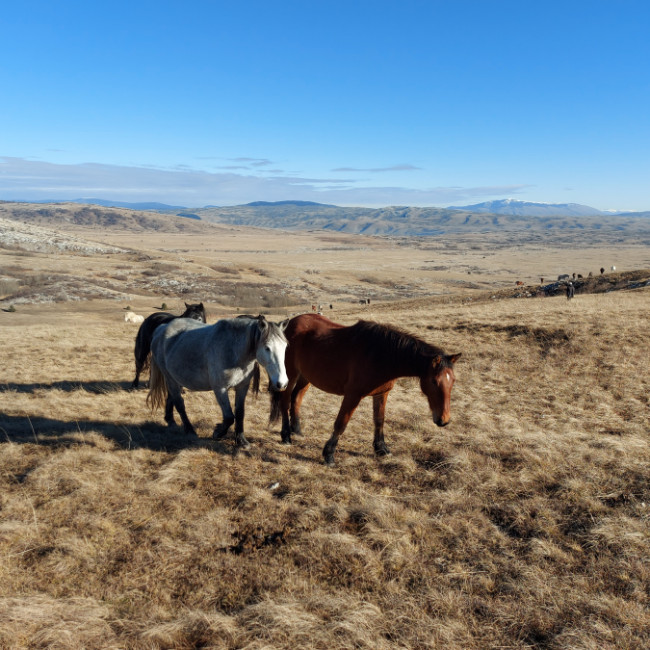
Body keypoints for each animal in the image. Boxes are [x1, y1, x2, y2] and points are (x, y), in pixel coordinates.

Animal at [151, 314, 288, 446]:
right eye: (267, 348)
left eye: (285, 347)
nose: (282, 383)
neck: (232, 349)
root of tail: (161, 329)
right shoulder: (220, 389)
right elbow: (229, 417)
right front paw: (218, 432)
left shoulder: (242, 386)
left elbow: (240, 413)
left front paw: (241, 440)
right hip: (170, 379)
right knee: (179, 404)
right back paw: (190, 430)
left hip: (176, 379)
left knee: (171, 399)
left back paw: (171, 421)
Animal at [268, 312, 460, 464]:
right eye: (434, 381)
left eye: (452, 381)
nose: (444, 420)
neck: (381, 354)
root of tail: (290, 325)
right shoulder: (353, 395)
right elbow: (341, 423)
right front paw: (329, 454)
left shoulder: (382, 393)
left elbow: (379, 420)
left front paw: (381, 449)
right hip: (291, 375)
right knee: (285, 401)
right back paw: (286, 435)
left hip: (306, 377)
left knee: (296, 398)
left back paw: (297, 430)